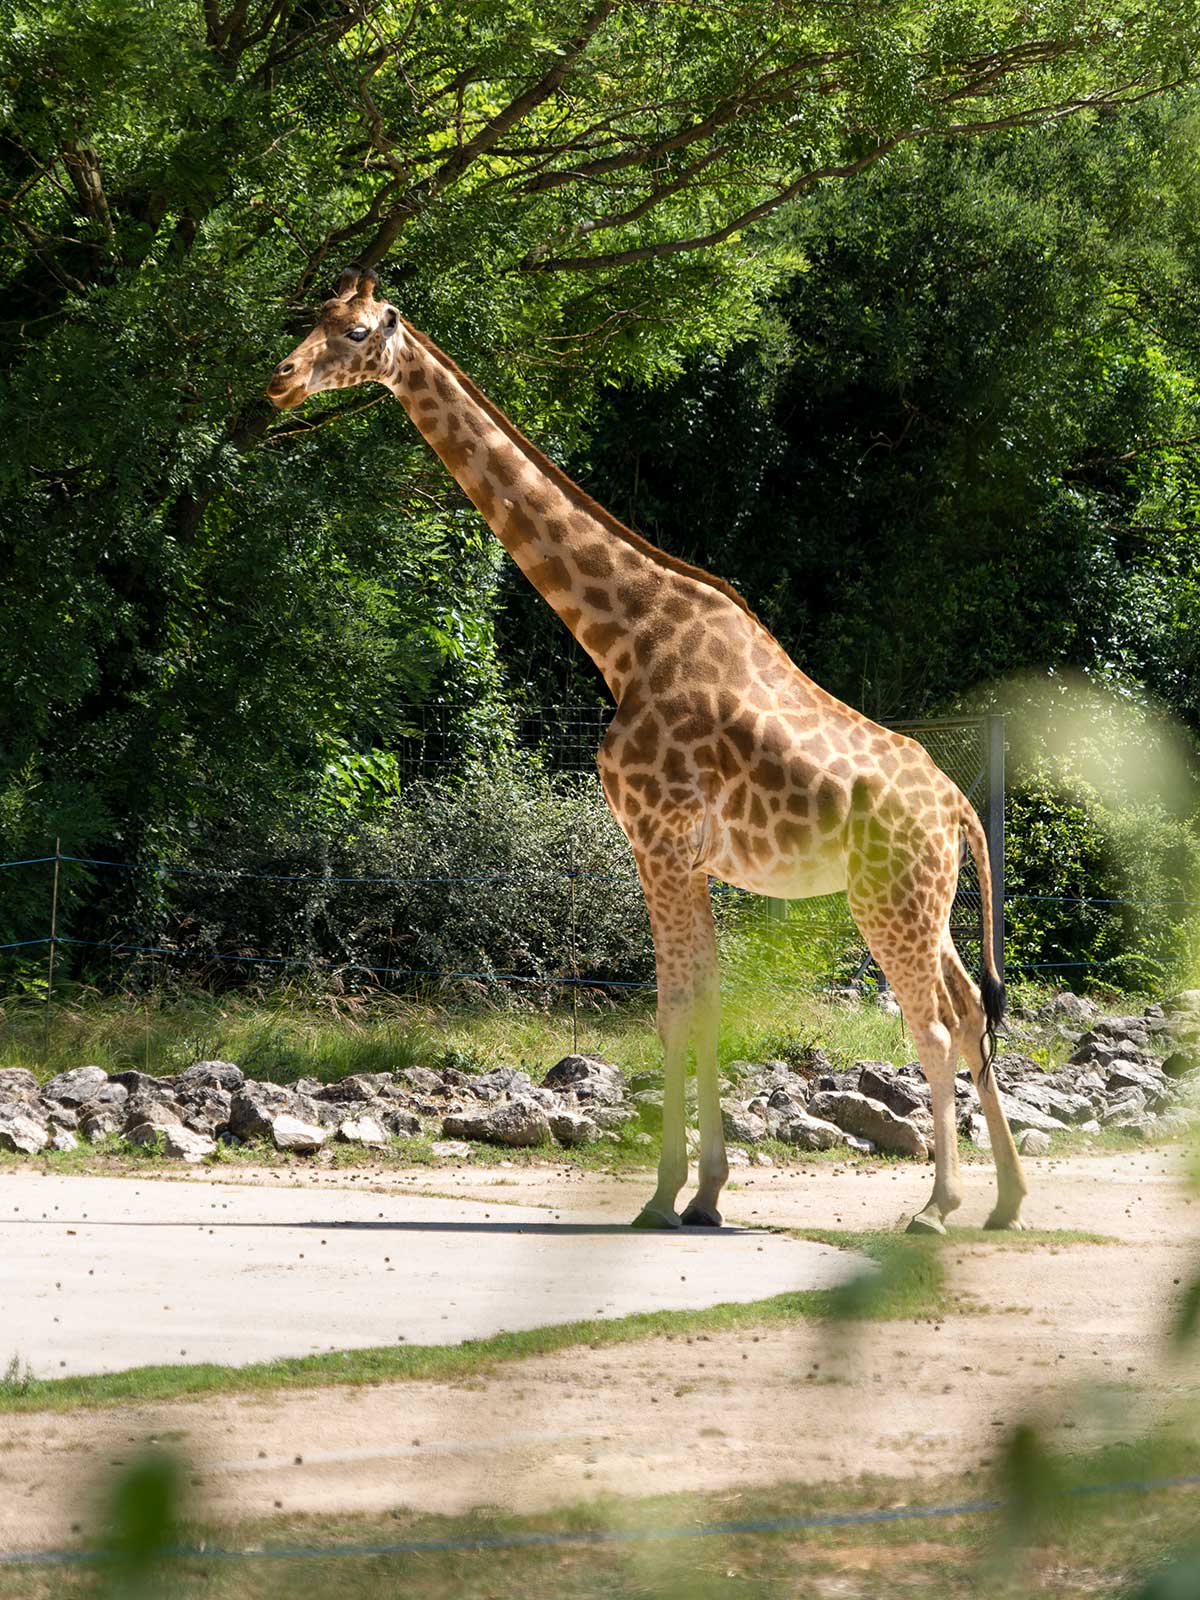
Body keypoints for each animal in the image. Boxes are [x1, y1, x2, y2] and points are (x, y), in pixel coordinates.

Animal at [266, 265, 1028, 1235]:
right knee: (971, 1015)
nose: (281, 380)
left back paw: (936, 1207)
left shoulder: (656, 843)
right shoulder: (686, 857)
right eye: (315, 316)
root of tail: (959, 804)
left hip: (889, 899)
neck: (625, 639)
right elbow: (701, 1009)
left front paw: (665, 1196)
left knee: (930, 1028)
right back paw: (1007, 1202)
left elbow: (672, 1013)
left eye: (360, 332)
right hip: (926, 903)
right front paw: (704, 1193)